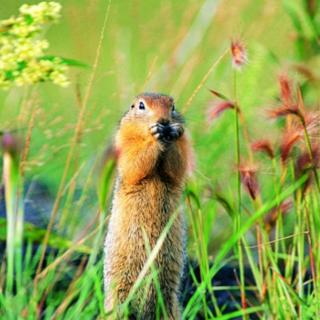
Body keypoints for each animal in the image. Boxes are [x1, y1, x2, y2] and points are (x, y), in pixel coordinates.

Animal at [104, 91, 192, 318]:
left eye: (173, 106)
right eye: (141, 106)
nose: (163, 121)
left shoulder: (184, 145)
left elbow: (177, 166)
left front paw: (174, 131)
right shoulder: (124, 140)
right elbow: (134, 161)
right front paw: (154, 135)